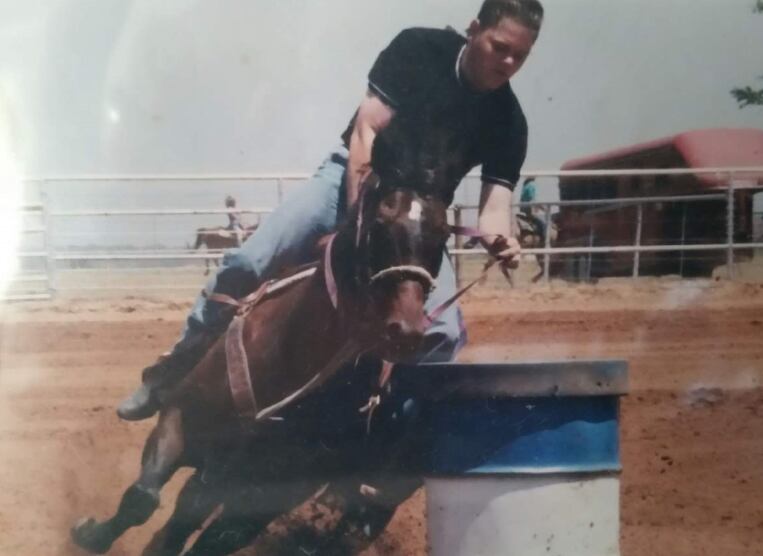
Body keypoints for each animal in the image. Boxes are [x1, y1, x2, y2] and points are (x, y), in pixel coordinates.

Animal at [71, 172, 451, 555]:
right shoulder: (178, 418)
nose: (405, 329)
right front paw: (90, 534)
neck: (287, 358)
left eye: (443, 233)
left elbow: (205, 532)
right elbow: (143, 499)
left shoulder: (264, 492)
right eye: (380, 222)